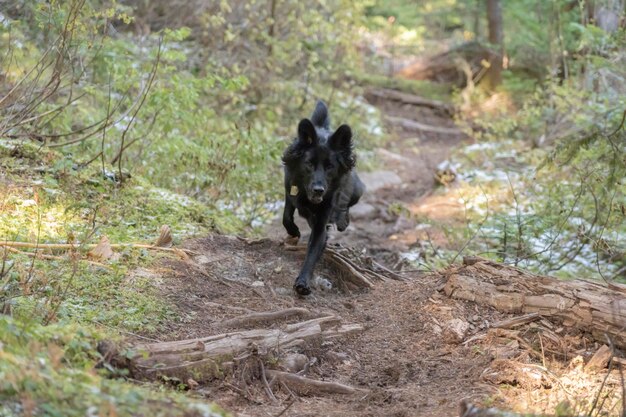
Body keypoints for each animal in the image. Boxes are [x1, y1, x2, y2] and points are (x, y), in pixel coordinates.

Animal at [280, 101, 364, 296]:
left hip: (357, 189)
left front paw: (303, 282)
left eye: (330, 167)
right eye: (309, 164)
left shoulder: (321, 223)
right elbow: (286, 215)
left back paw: (342, 220)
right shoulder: (290, 188)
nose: (318, 190)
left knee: (347, 204)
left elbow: (312, 251)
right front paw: (293, 230)